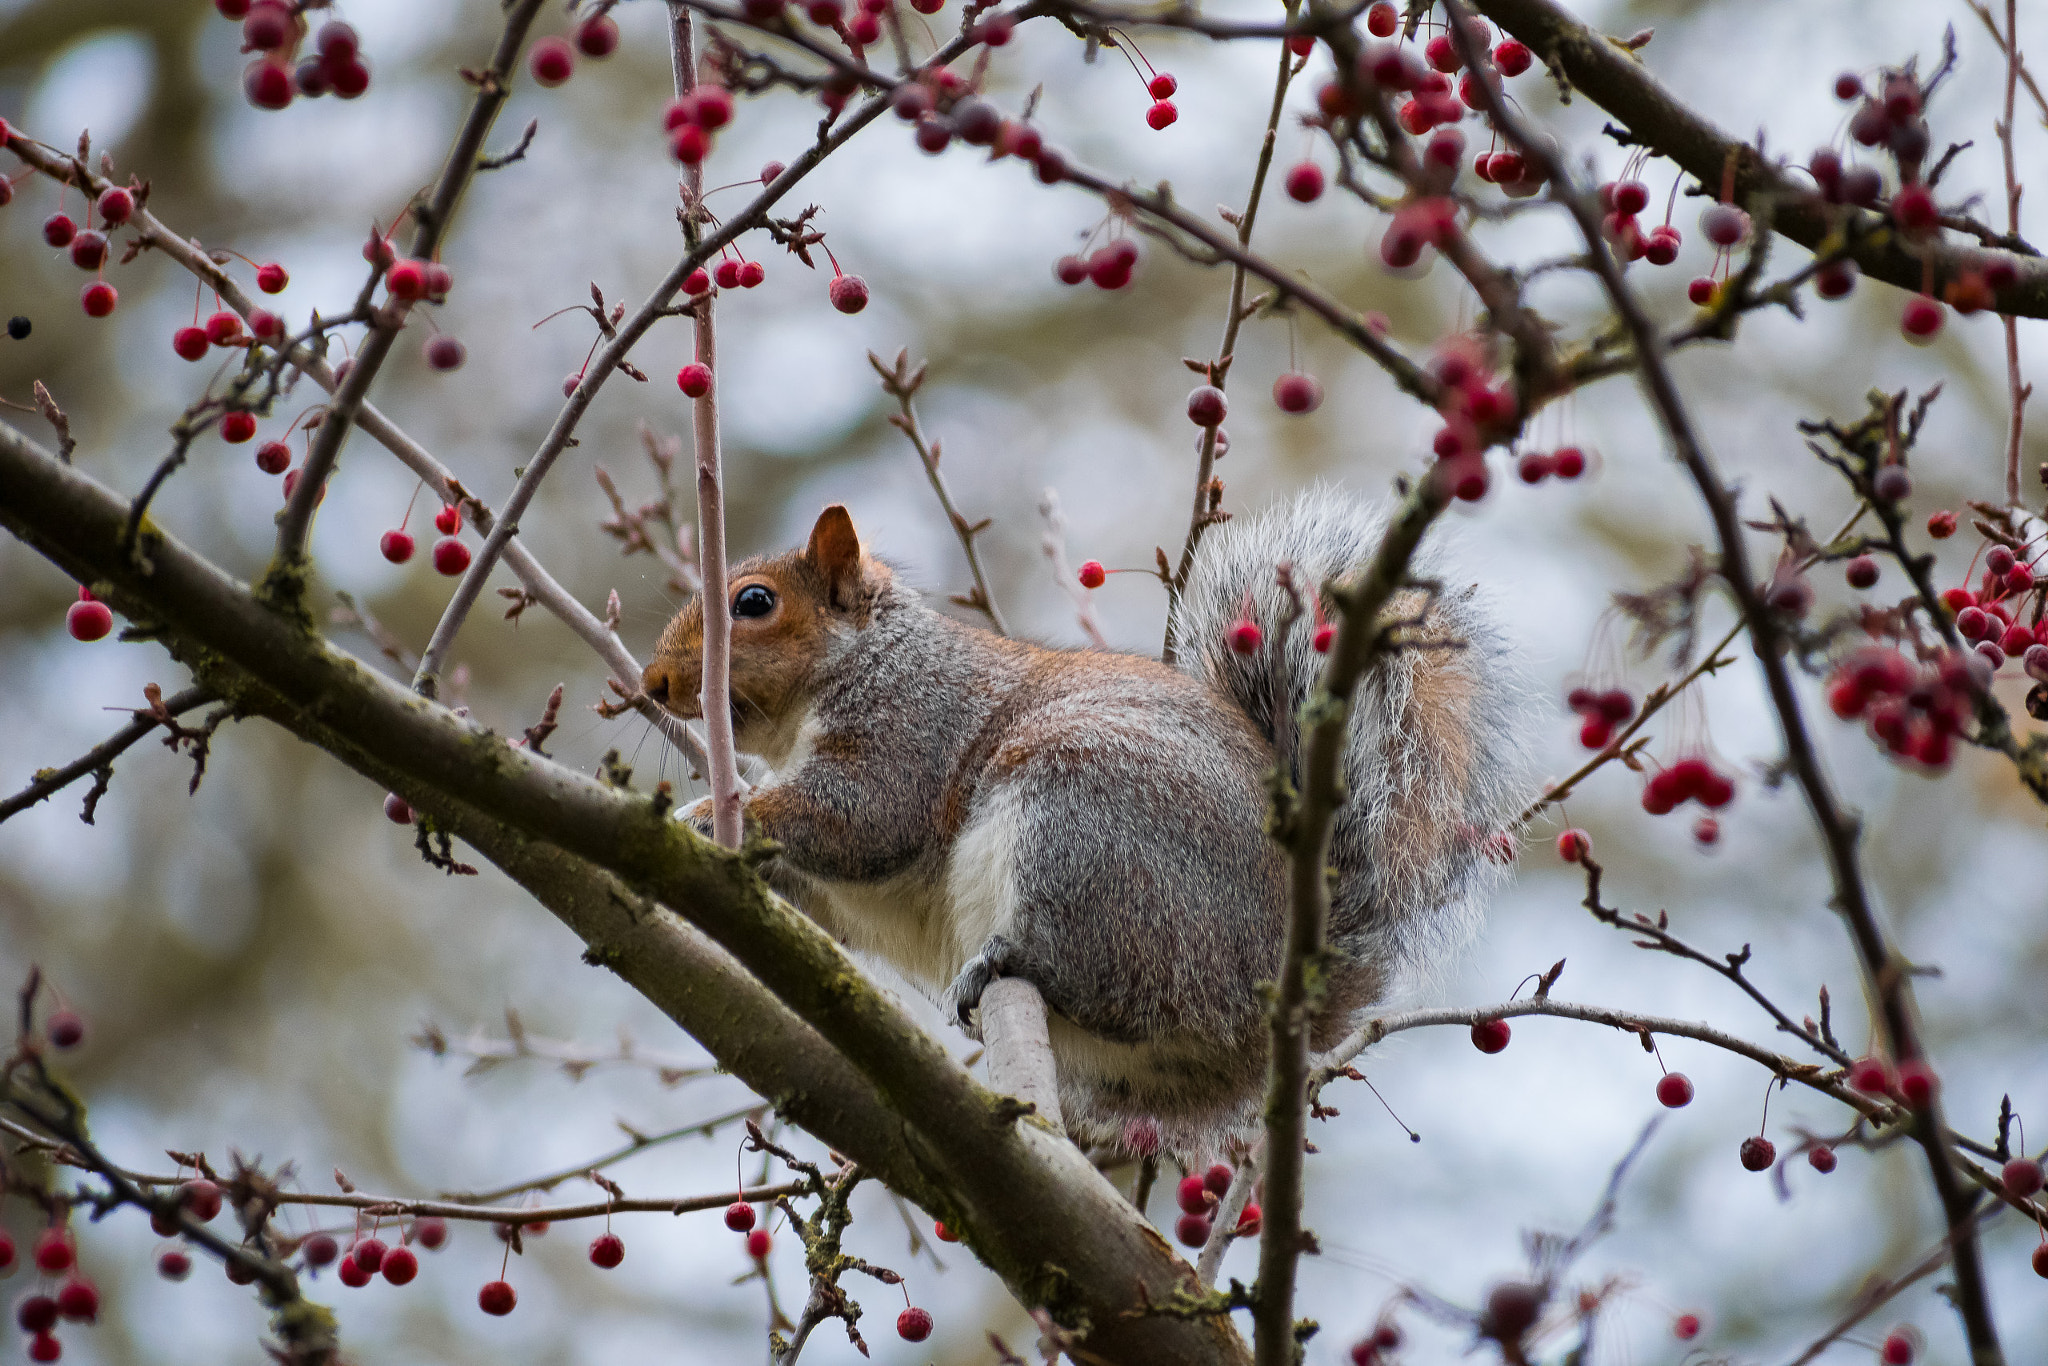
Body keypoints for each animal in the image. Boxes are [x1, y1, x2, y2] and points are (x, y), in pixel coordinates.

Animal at [643, 490, 1528, 1155]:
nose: (653, 684)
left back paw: (1008, 960)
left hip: (1085, 823)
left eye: (754, 604)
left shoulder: (910, 727)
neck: (857, 661)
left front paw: (706, 814)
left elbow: (860, 816)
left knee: (1115, 981)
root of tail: (1275, 987)